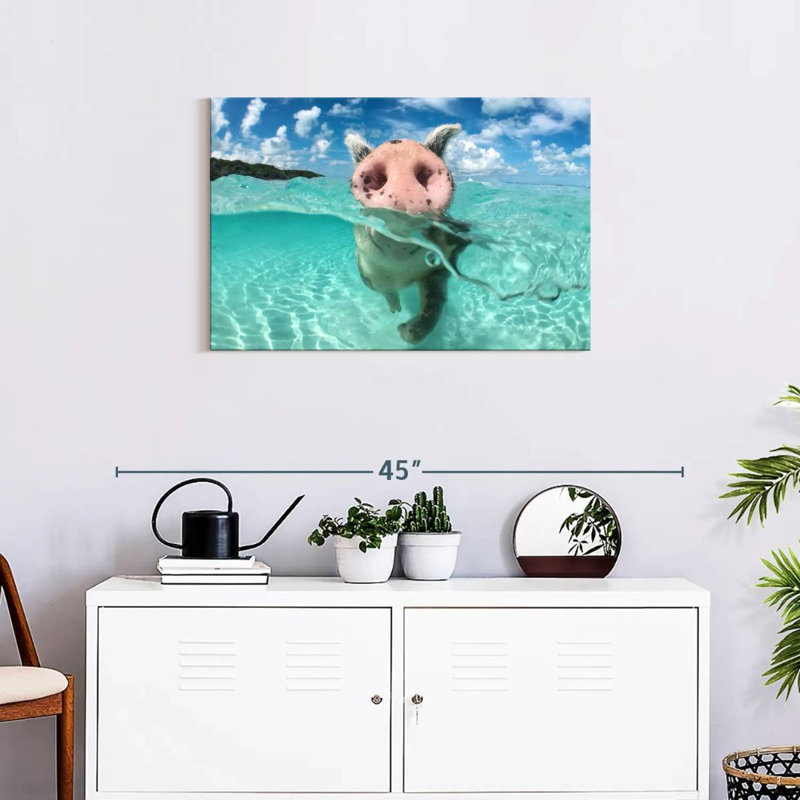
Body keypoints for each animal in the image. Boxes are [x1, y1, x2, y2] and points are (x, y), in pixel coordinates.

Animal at [345, 124, 469, 345]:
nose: (401, 149)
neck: (401, 272)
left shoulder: (439, 266)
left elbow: (434, 301)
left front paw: (402, 329)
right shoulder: (366, 270)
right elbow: (385, 290)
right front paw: (396, 313)